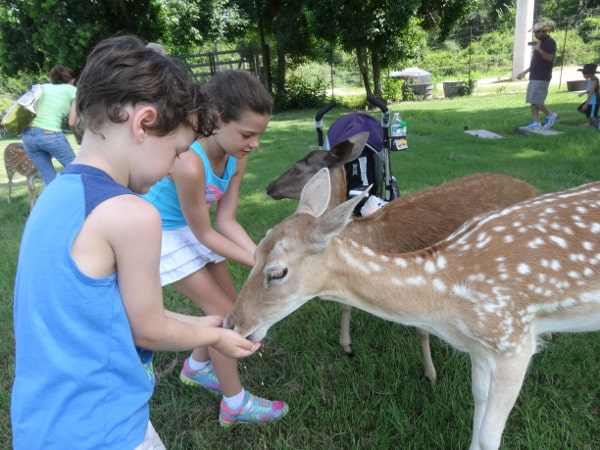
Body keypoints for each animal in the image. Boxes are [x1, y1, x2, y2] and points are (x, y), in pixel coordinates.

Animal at [224, 168, 600, 450]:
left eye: (278, 272)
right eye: (254, 252)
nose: (232, 324)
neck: (444, 298)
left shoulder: (514, 339)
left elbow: (490, 437)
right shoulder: (480, 350)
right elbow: (477, 416)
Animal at [264, 132, 536, 384]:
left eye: (297, 169)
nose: (268, 187)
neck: (367, 235)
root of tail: (533, 188)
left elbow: (421, 329)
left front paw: (431, 374)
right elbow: (346, 302)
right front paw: (347, 345)